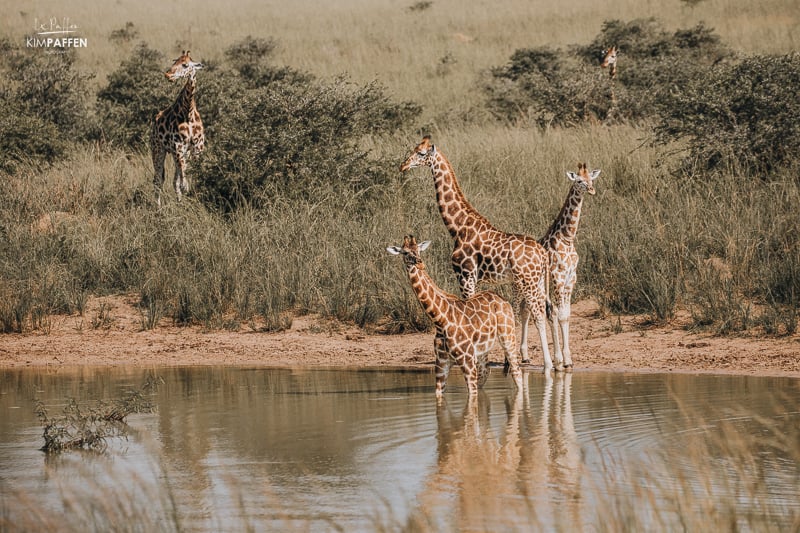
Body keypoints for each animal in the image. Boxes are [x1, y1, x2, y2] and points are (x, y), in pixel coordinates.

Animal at [150, 49, 205, 206]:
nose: (168, 75)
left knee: (174, 181)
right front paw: (187, 190)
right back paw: (158, 208)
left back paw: (179, 202)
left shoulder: (197, 148)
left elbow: (192, 177)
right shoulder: (178, 146)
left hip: (177, 153)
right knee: (158, 180)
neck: (188, 113)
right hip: (158, 150)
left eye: (185, 65)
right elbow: (183, 180)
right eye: (174, 62)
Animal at [388, 235, 524, 396]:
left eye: (419, 250)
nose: (420, 264)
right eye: (405, 252)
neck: (439, 319)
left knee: (516, 372)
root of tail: (503, 299)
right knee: (486, 372)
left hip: (507, 336)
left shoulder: (466, 360)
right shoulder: (441, 364)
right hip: (482, 350)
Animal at [400, 135, 564, 372]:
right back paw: (560, 361)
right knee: (550, 310)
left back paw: (548, 364)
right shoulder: (473, 278)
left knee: (539, 314)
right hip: (540, 280)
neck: (458, 227)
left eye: (421, 153)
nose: (403, 166)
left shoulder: (465, 275)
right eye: (413, 149)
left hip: (529, 281)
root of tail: (543, 254)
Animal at [536, 163, 600, 370]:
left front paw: (568, 360)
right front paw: (559, 360)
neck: (567, 238)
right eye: (578, 181)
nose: (591, 190)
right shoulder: (558, 277)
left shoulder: (571, 278)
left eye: (591, 179)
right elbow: (557, 314)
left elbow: (566, 315)